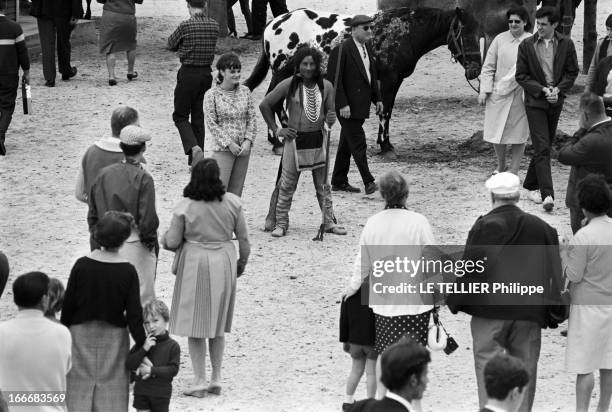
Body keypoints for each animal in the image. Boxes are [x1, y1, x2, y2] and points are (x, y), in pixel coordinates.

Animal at [244, 7, 482, 157]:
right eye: (464, 35)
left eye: (478, 34)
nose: (475, 70)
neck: (403, 32)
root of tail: (273, 23)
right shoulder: (389, 79)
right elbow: (386, 111)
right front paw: (385, 146)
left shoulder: (393, 81)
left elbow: (386, 110)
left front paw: (384, 143)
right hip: (281, 72)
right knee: (273, 101)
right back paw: (282, 140)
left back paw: (276, 140)